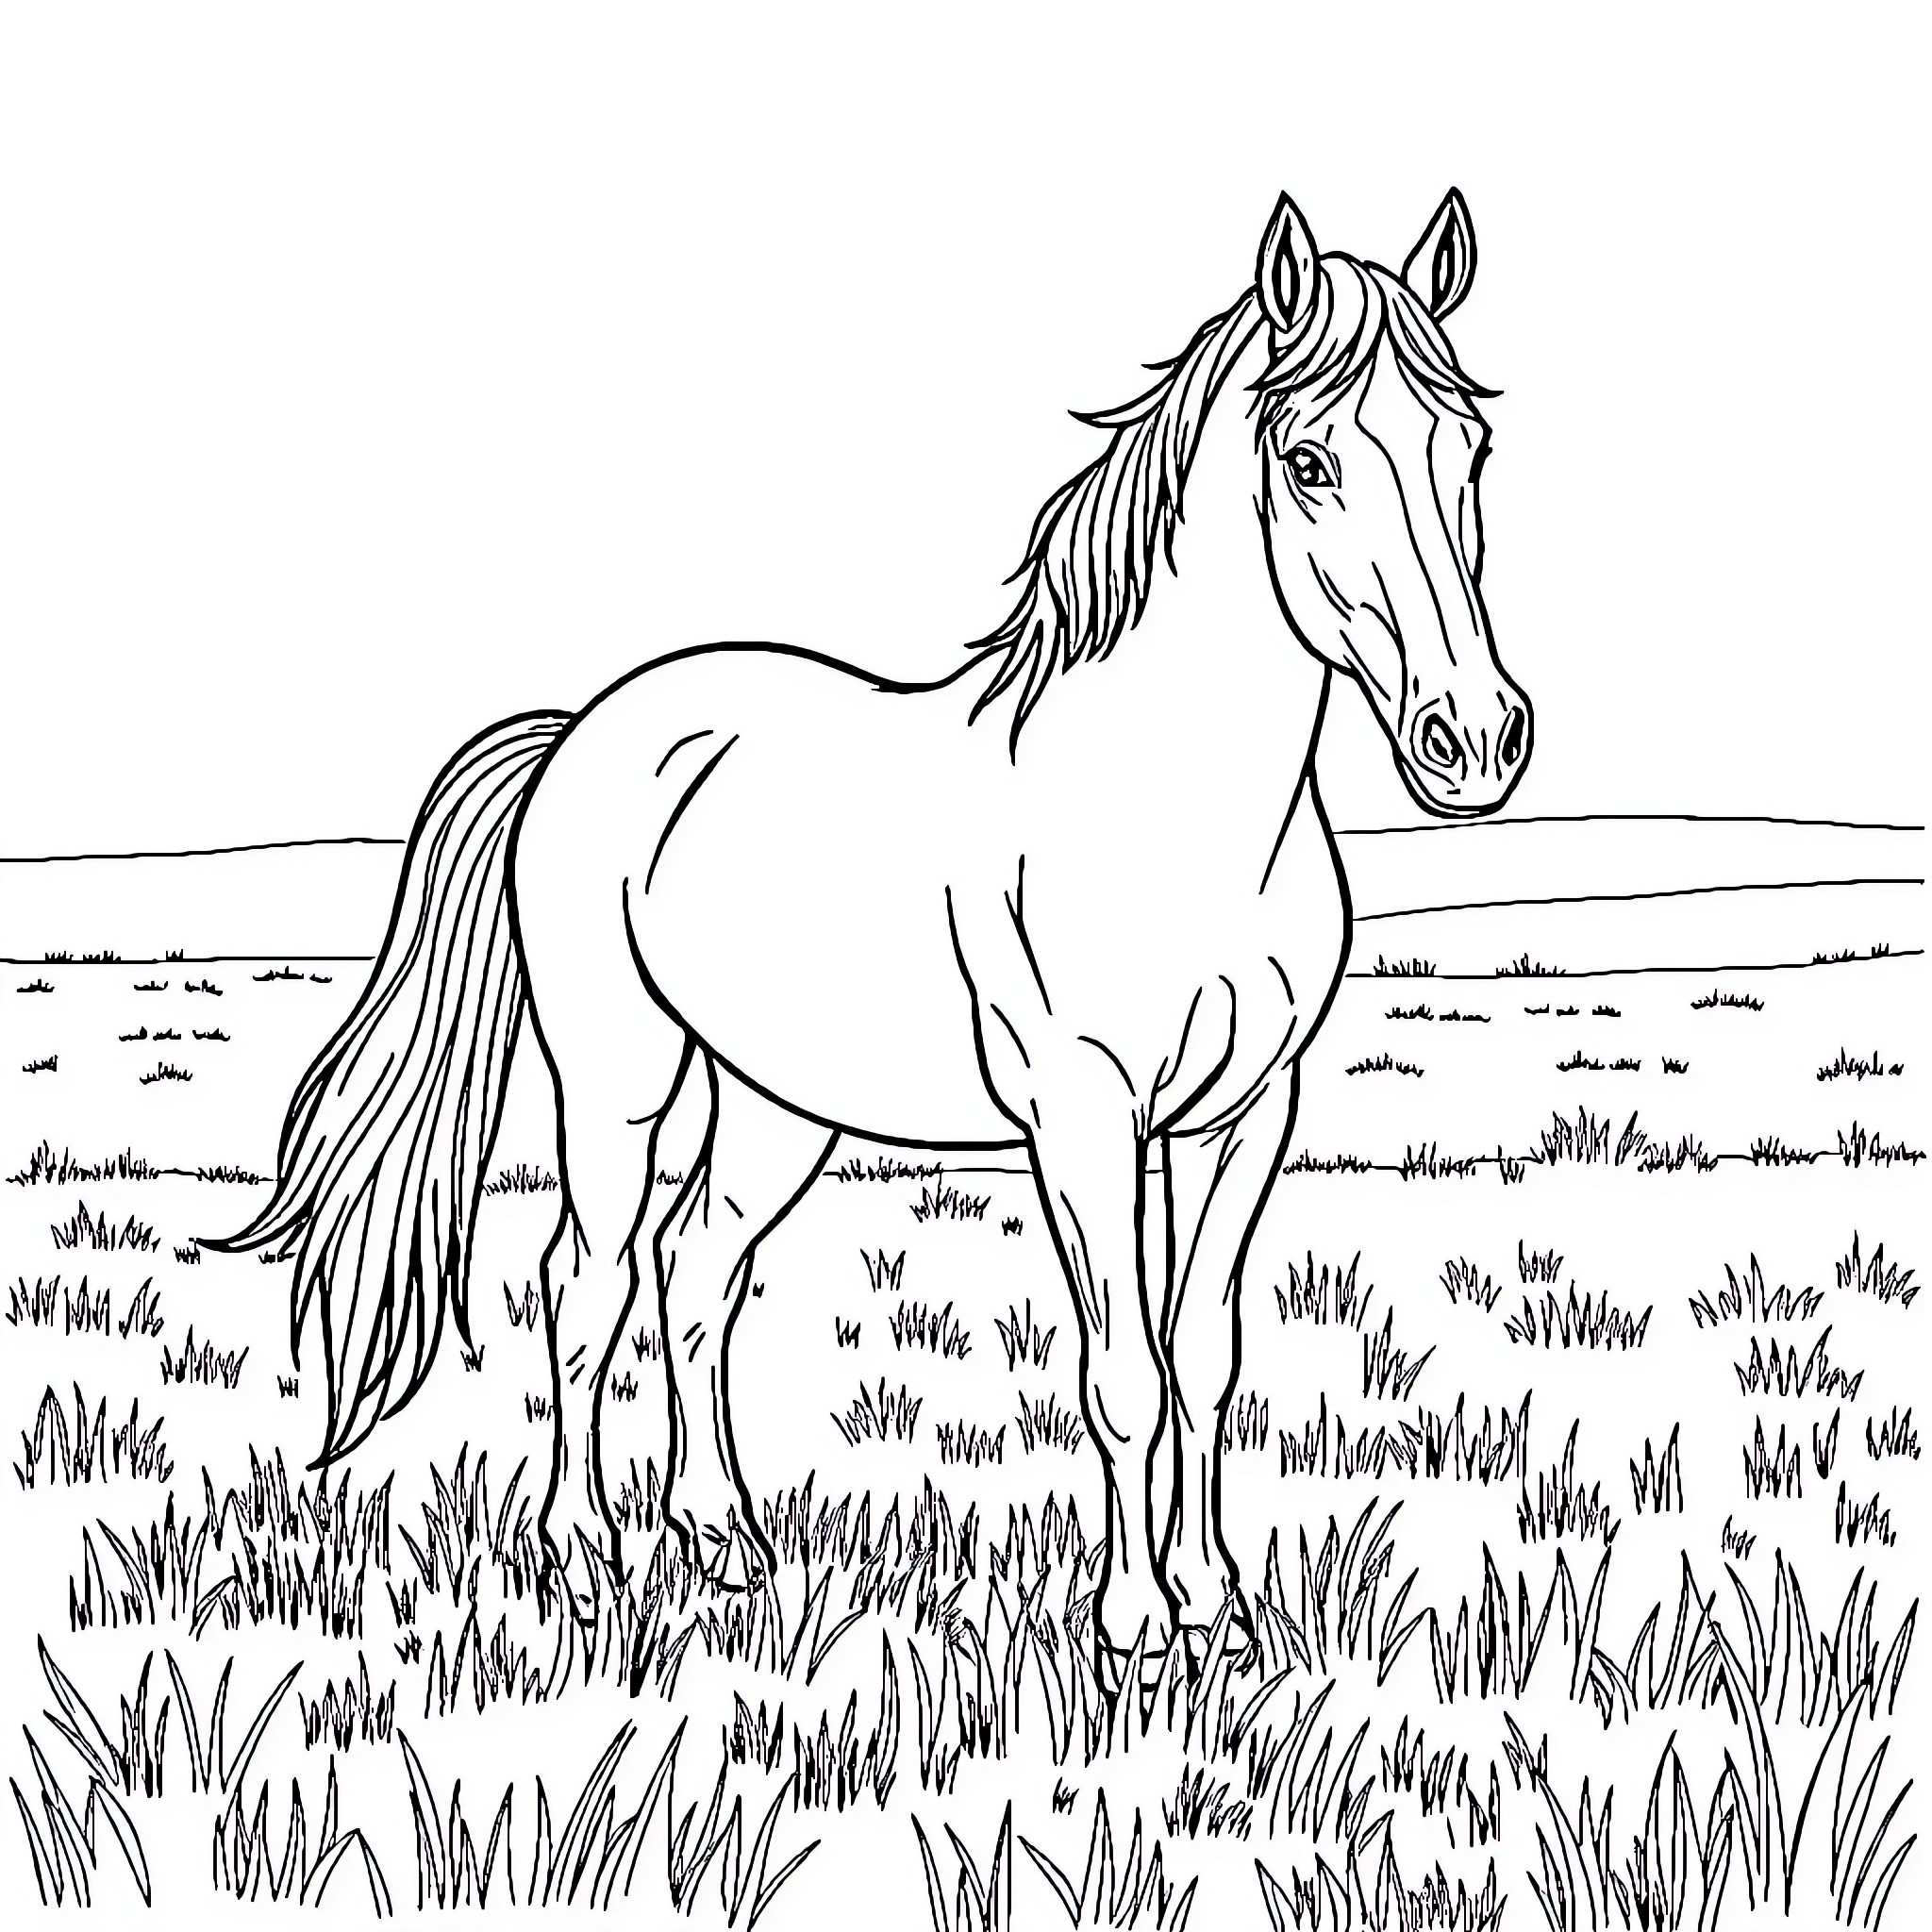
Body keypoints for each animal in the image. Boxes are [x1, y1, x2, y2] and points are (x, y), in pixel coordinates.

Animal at [217, 188, 1531, 1672]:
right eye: (1309, 463)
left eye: (1470, 450)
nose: (1476, 740)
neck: (1170, 814)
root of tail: (586, 729)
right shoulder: (1083, 1116)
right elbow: (1124, 1374)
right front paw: (1132, 1628)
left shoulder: (1244, 1114)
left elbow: (1206, 1355)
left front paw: (1217, 1607)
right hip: (617, 1078)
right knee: (584, 1281)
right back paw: (585, 1559)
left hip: (778, 1102)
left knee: (696, 1274)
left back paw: (727, 1542)